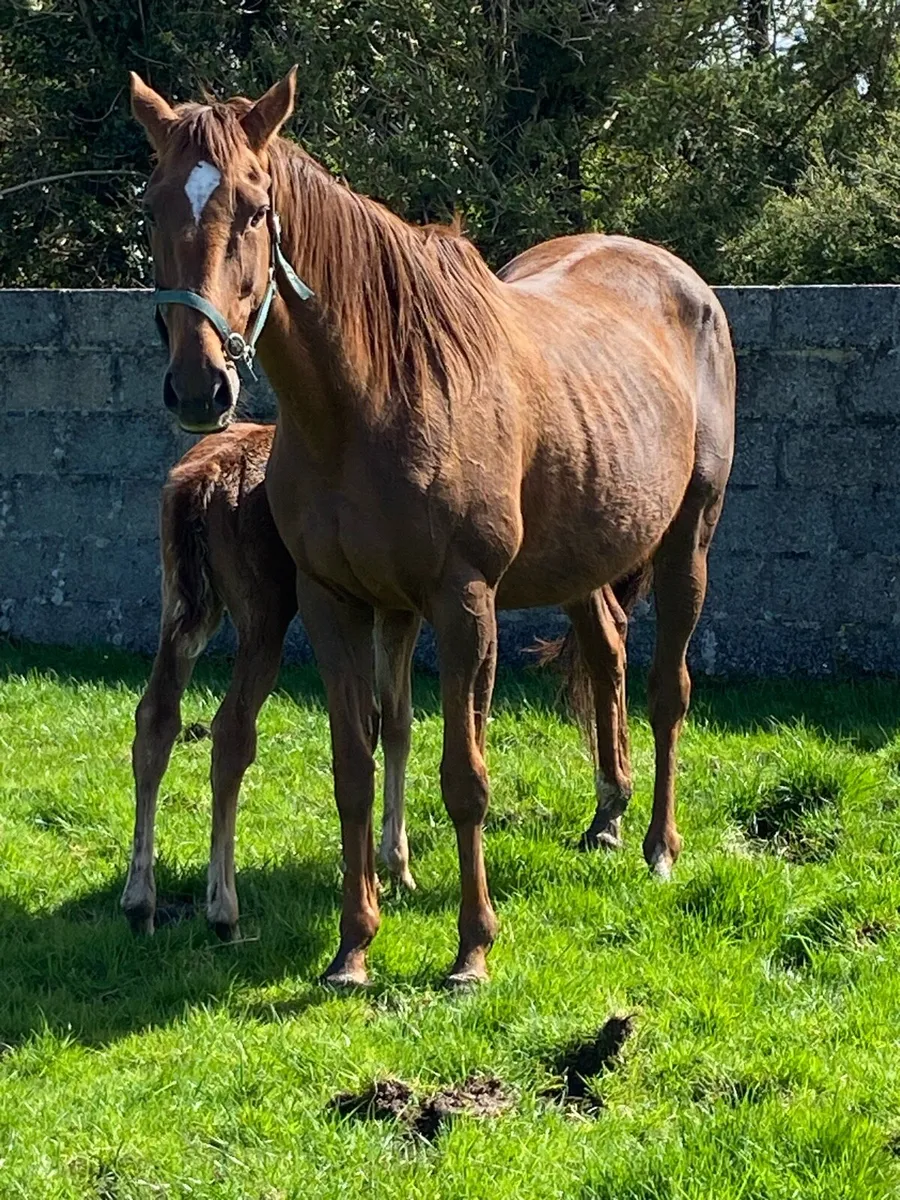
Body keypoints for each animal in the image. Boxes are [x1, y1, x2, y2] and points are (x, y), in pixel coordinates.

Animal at [121, 422, 418, 941]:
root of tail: (200, 484)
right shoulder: (400, 603)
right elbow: (397, 722)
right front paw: (396, 865)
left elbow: (372, 723)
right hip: (266, 607)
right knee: (231, 732)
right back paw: (224, 911)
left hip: (183, 604)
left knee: (156, 718)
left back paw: (141, 904)